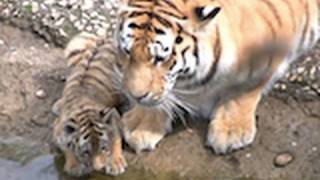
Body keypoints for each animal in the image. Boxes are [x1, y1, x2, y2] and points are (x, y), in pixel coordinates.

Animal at [114, 0, 318, 155]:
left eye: (160, 58)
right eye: (127, 52)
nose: (135, 96)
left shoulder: (267, 53)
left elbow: (244, 89)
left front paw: (231, 131)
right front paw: (141, 123)